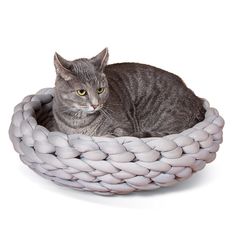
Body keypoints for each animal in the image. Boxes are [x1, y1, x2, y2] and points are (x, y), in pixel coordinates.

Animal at [51, 47, 205, 136]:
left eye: (100, 90)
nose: (95, 105)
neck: (79, 122)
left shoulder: (122, 127)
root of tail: (195, 98)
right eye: (82, 92)